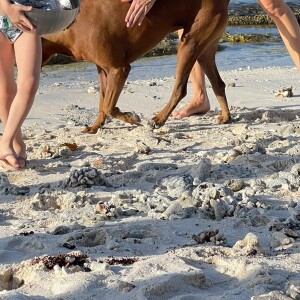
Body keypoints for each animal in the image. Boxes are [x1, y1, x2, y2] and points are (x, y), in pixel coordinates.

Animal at [41, 0, 230, 134]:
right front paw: (95, 127)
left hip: (189, 44)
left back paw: (158, 120)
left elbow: (108, 106)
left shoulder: (119, 69)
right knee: (218, 83)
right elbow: (103, 103)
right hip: (205, 48)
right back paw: (226, 117)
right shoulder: (103, 70)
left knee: (180, 90)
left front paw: (130, 118)